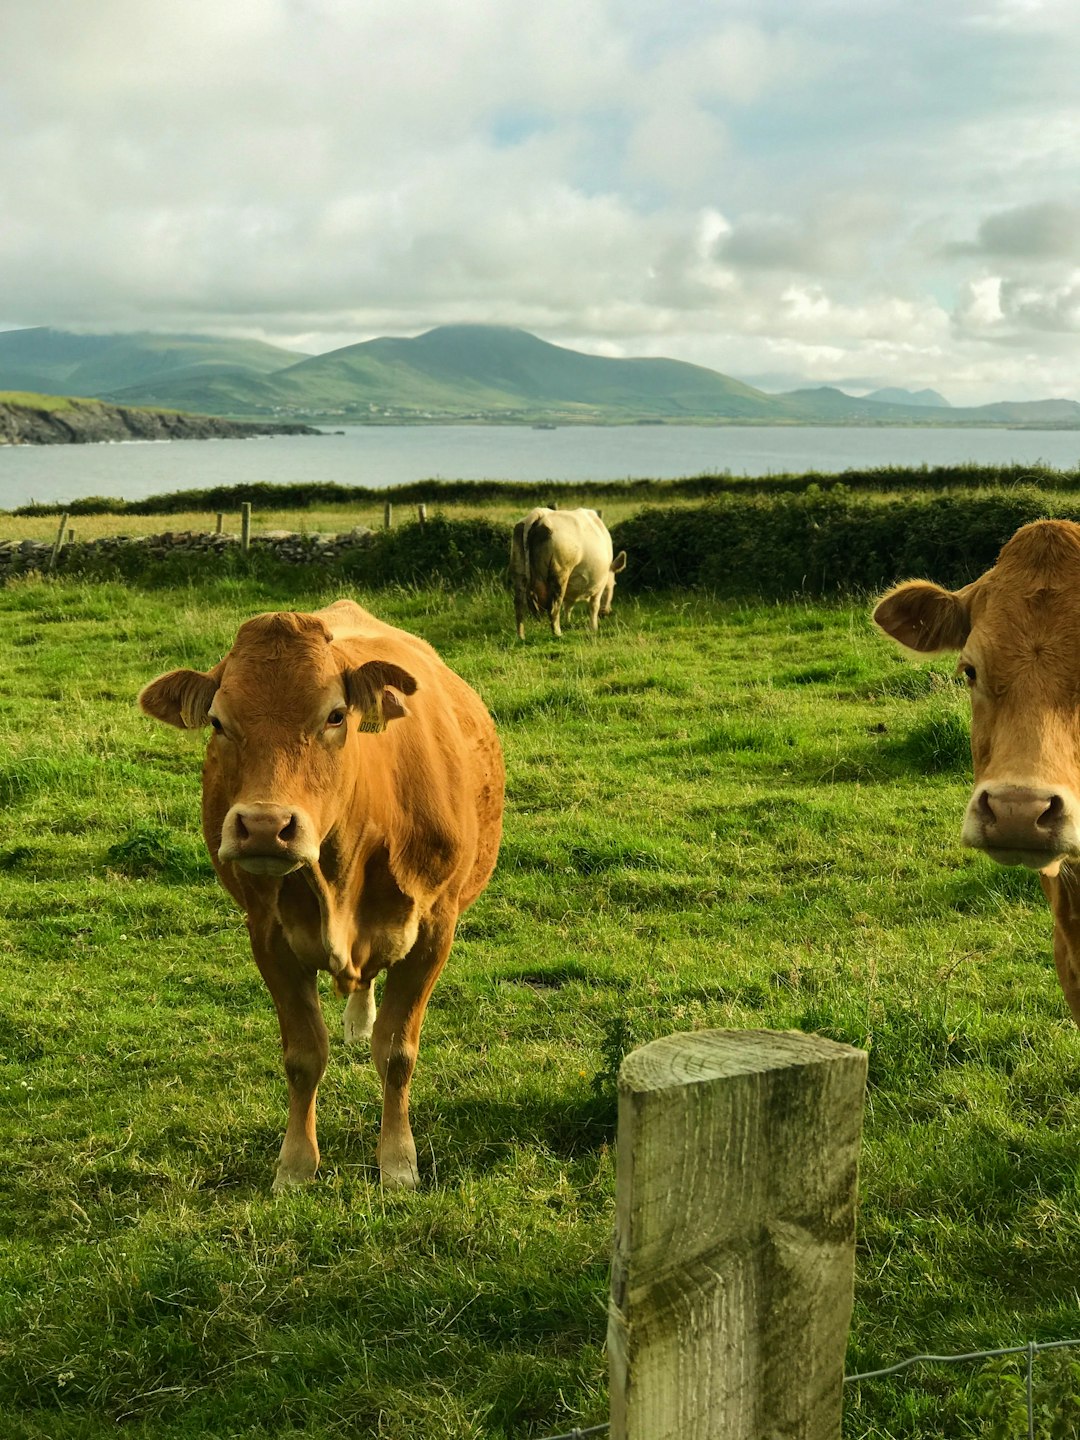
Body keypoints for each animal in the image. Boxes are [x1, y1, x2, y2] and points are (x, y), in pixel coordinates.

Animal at [139, 599, 504, 1191]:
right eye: (218, 722)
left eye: (335, 716)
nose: (265, 826)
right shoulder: (269, 938)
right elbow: (303, 1055)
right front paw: (294, 1165)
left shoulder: (434, 930)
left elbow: (397, 1052)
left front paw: (397, 1162)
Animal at [510, 506, 627, 639]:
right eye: (613, 585)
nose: (606, 612)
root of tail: (540, 513)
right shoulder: (599, 585)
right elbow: (593, 606)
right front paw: (594, 628)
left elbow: (568, 606)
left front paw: (568, 622)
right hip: (560, 573)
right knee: (554, 608)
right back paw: (558, 633)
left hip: (519, 570)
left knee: (519, 605)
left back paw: (521, 636)